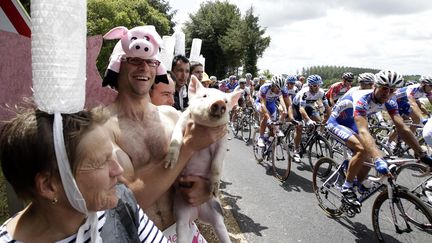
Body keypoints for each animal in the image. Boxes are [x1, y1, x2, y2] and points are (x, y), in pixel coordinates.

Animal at [165, 76, 241, 243]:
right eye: (205, 95)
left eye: (226, 101)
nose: (219, 102)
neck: (206, 125)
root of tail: (198, 213)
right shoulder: (181, 123)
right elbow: (176, 140)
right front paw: (169, 165)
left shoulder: (222, 142)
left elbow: (217, 163)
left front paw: (213, 189)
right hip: (180, 212)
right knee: (182, 229)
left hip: (217, 214)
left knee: (221, 229)